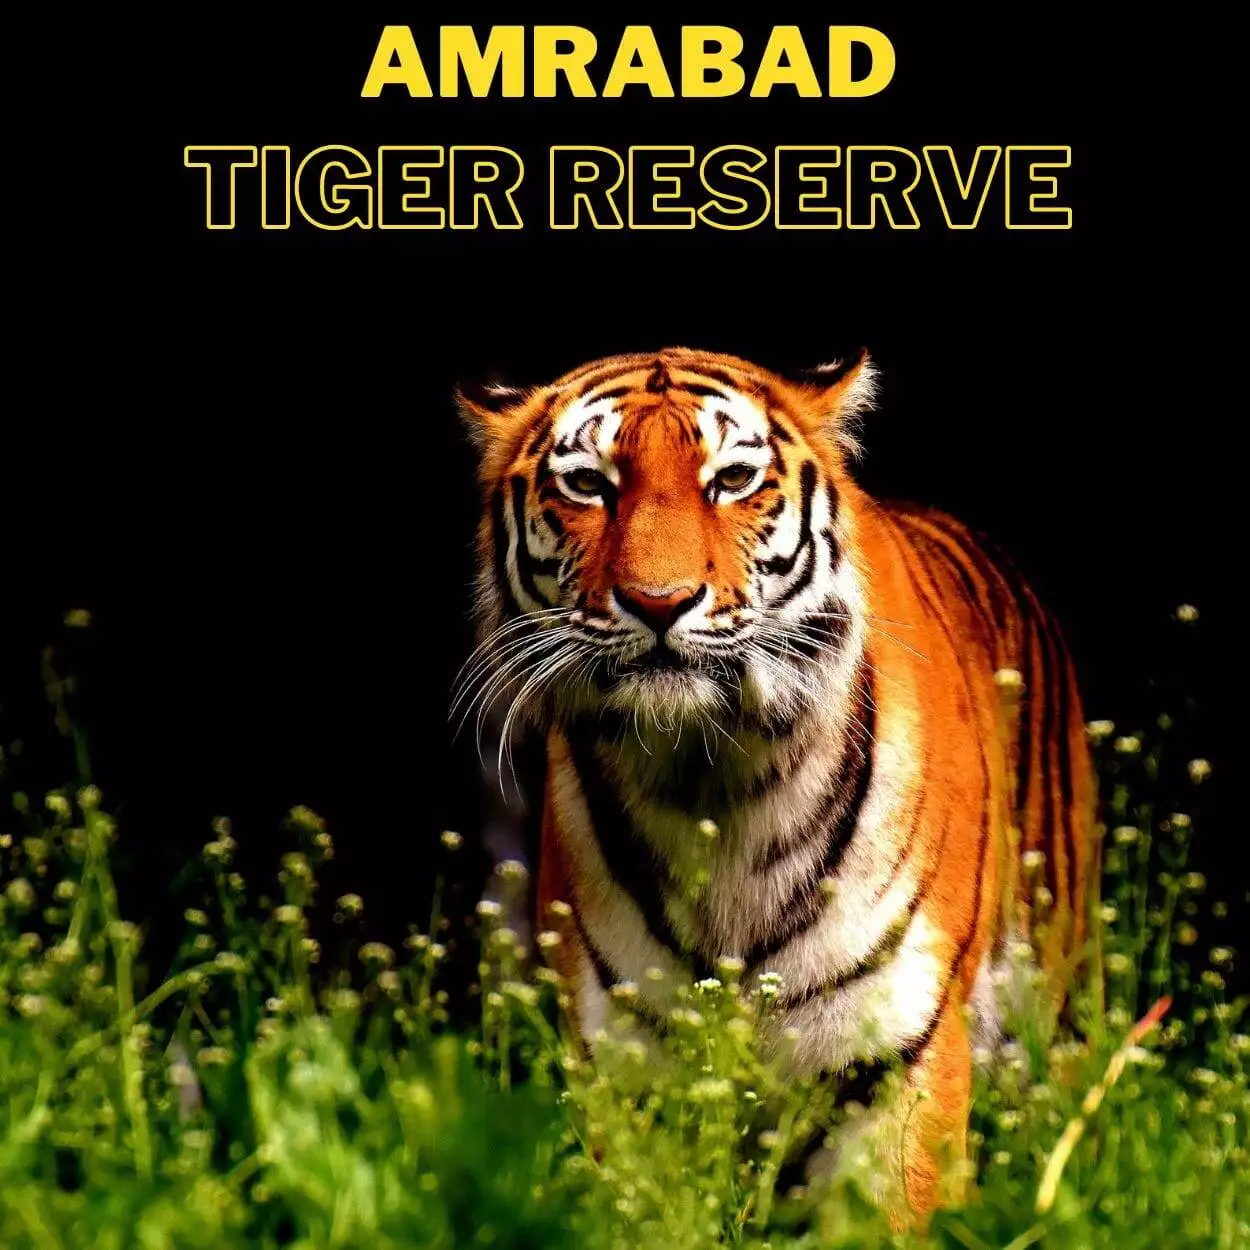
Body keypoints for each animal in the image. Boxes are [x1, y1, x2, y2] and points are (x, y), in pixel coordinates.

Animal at [454, 347, 1097, 1220]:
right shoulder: (622, 1066)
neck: (709, 785)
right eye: (588, 484)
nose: (659, 602)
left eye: (731, 479)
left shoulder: (900, 1052)